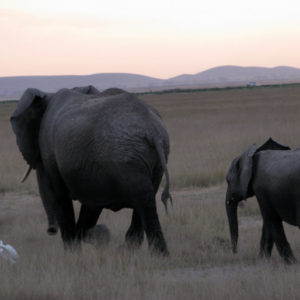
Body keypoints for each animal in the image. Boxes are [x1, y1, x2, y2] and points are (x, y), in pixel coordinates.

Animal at [9, 85, 171, 255]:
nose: (51, 230)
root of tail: (152, 130)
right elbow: (91, 205)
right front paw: (95, 236)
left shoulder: (50, 151)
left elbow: (61, 197)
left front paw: (74, 253)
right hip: (153, 157)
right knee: (147, 198)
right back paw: (140, 254)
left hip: (127, 157)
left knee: (142, 199)